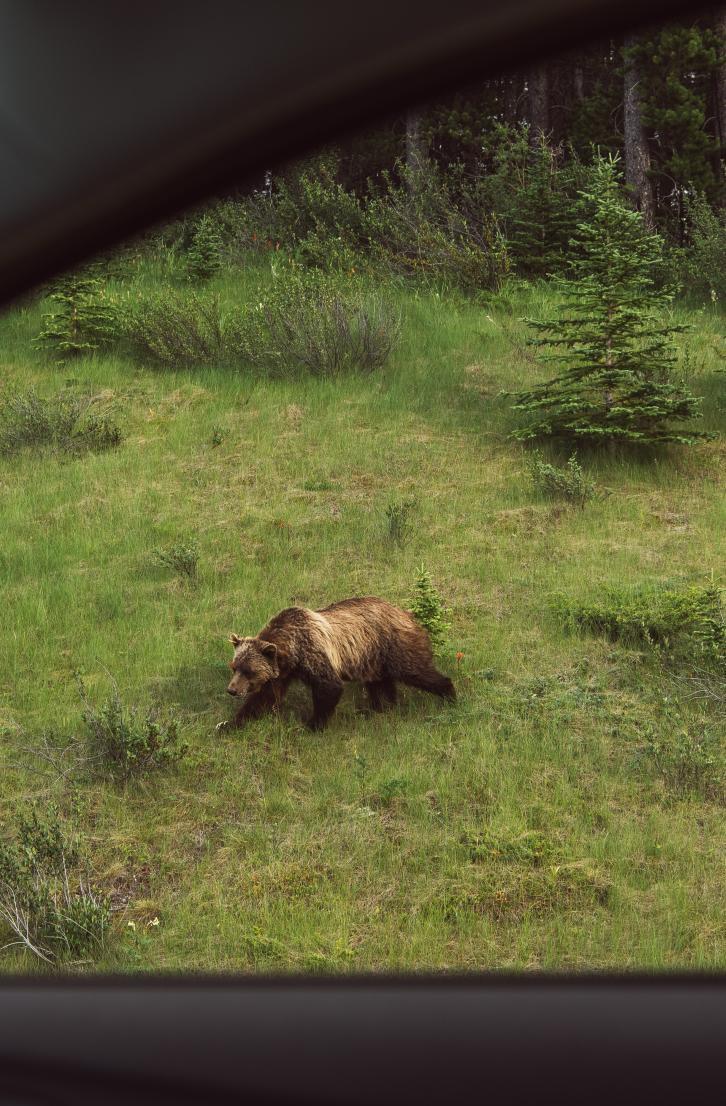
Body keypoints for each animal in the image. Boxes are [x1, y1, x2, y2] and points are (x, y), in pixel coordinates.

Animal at [220, 596, 455, 731]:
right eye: (234, 666)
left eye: (249, 671)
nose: (232, 690)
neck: (292, 652)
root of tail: (407, 613)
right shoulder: (281, 673)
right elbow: (263, 698)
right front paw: (229, 724)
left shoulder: (313, 653)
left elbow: (329, 687)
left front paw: (312, 725)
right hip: (372, 659)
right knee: (380, 685)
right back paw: (380, 708)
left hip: (394, 646)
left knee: (417, 671)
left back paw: (449, 694)